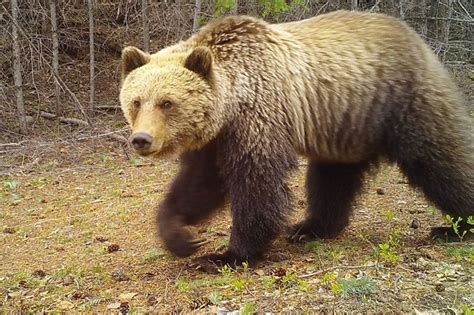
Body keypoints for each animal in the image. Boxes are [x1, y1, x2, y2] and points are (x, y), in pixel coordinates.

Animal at [119, 10, 474, 274]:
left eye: (167, 102)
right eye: (136, 101)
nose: (142, 139)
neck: (231, 103)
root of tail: (417, 39)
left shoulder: (260, 114)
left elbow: (256, 183)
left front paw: (228, 255)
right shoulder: (216, 139)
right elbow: (199, 184)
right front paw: (181, 237)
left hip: (402, 101)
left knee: (438, 160)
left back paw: (456, 227)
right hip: (344, 125)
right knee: (331, 179)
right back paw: (310, 227)